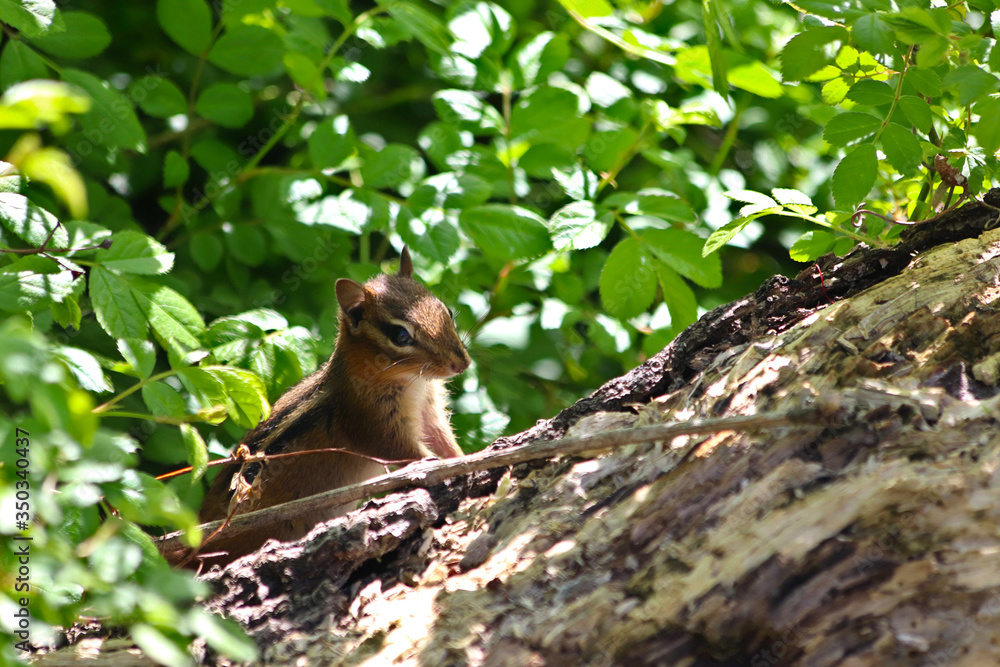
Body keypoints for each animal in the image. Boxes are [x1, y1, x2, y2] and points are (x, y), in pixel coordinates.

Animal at [192, 247, 471, 566]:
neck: (414, 382)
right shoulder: (371, 421)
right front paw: (445, 467)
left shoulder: (429, 410)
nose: (462, 364)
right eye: (401, 336)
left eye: (447, 311)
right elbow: (404, 451)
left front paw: (466, 456)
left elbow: (442, 438)